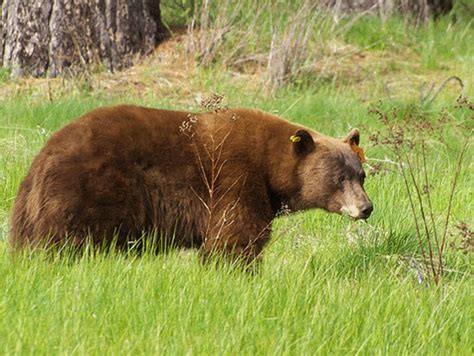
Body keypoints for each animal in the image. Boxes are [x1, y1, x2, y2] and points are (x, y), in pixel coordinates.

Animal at [9, 105, 372, 262]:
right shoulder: (234, 178)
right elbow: (234, 236)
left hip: (28, 213)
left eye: (361, 174)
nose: (366, 207)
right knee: (69, 240)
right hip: (89, 191)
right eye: (339, 177)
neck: (270, 166)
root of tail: (42, 159)